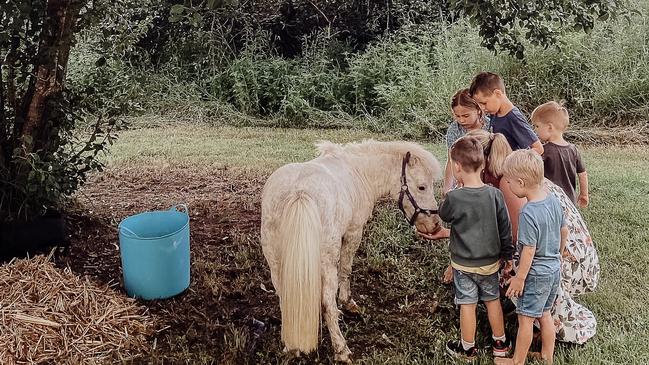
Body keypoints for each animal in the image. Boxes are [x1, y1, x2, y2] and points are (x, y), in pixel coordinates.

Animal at [260, 139, 442, 362]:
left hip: (276, 264)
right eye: (422, 186)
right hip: (324, 264)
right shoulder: (353, 233)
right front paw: (347, 303)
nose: (435, 225)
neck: (359, 171)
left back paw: (291, 345)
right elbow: (345, 270)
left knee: (284, 298)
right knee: (327, 302)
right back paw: (341, 349)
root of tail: (299, 192)